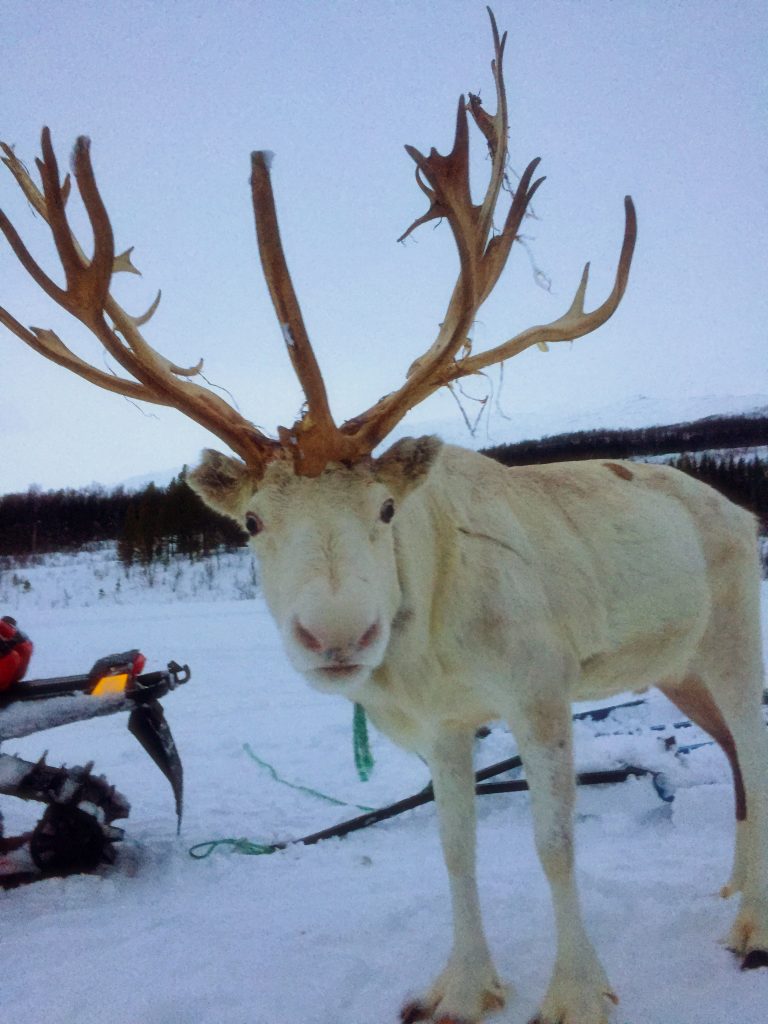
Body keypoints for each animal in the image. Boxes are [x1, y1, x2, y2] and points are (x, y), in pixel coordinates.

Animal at [2, 9, 767, 1023]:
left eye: (387, 505)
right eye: (250, 524)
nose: (337, 634)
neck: (431, 641)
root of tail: (736, 509)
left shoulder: (539, 690)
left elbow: (554, 844)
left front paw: (573, 993)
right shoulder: (448, 726)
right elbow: (454, 849)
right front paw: (464, 987)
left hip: (732, 641)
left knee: (756, 749)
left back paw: (754, 926)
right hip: (674, 669)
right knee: (729, 757)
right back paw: (734, 886)